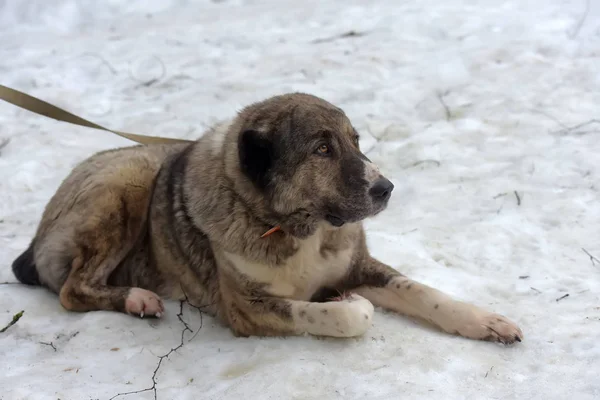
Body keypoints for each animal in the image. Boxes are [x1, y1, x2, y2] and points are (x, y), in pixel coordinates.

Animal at [11, 93, 524, 344]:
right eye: (321, 149)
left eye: (355, 141)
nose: (386, 188)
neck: (301, 226)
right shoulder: (247, 308)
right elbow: (347, 315)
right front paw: (344, 304)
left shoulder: (360, 266)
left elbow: (425, 292)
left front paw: (486, 321)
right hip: (129, 180)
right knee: (72, 289)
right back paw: (137, 298)